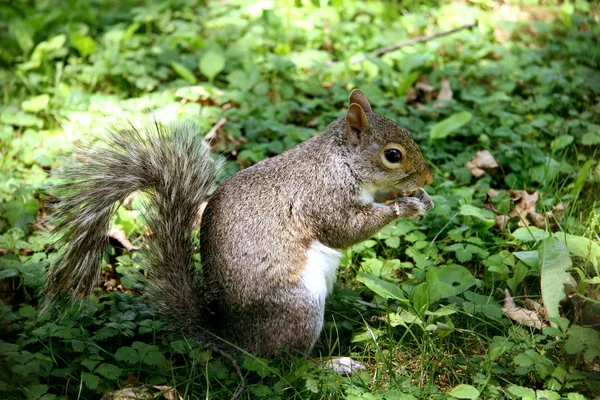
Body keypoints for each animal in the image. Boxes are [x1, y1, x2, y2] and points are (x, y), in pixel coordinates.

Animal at [47, 90, 432, 362]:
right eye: (393, 155)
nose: (429, 177)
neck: (341, 161)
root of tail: (231, 338)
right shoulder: (323, 197)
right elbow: (346, 229)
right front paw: (405, 206)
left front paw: (422, 197)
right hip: (298, 307)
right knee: (287, 364)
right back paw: (332, 365)